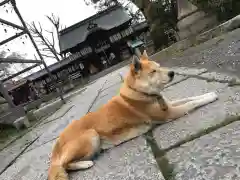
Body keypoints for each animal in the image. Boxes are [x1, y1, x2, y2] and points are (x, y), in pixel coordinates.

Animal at [47, 50, 218, 180]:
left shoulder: (169, 106)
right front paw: (210, 97)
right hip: (91, 135)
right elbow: (192, 104)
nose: (172, 73)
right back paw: (85, 164)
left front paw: (208, 93)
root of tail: (56, 144)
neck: (141, 93)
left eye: (159, 66)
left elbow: (192, 98)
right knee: (65, 165)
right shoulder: (169, 113)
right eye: (153, 71)